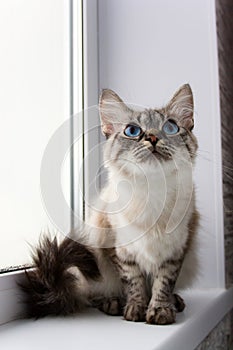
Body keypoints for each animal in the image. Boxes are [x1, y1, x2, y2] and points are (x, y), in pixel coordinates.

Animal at [20, 85, 198, 326]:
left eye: (170, 127)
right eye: (132, 131)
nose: (152, 137)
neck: (152, 194)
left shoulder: (175, 251)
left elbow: (162, 284)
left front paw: (160, 311)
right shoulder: (119, 251)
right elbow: (134, 283)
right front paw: (135, 310)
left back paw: (176, 302)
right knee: (92, 295)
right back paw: (113, 303)